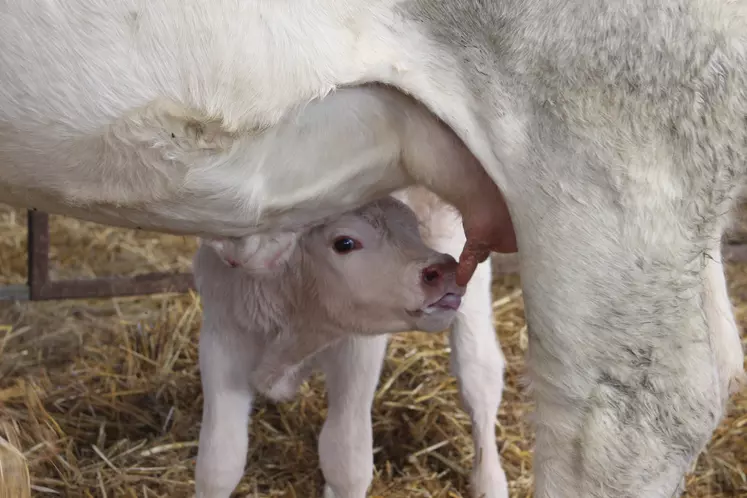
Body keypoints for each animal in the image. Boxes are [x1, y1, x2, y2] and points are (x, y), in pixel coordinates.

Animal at [193, 187, 508, 498]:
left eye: (413, 228)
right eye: (344, 243)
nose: (443, 271)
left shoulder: (357, 350)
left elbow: (347, 461)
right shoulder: (222, 336)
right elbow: (218, 463)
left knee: (480, 376)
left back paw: (490, 482)